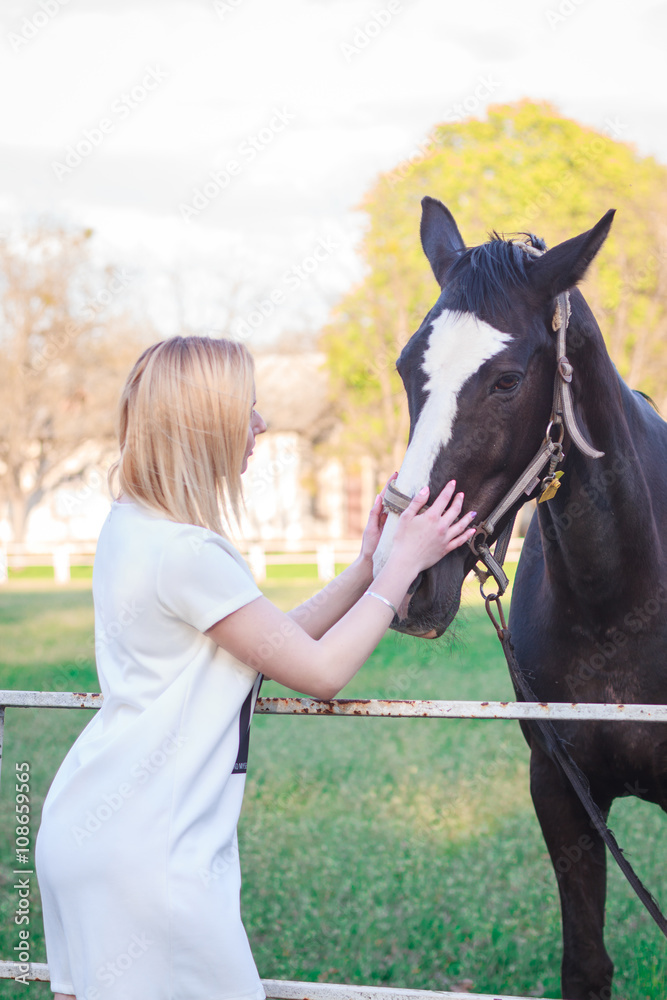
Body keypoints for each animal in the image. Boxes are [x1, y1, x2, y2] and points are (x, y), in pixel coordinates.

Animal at [372, 196, 667, 1000]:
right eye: (408, 370)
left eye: (506, 381)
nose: (405, 578)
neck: (622, 607)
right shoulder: (562, 793)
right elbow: (586, 964)